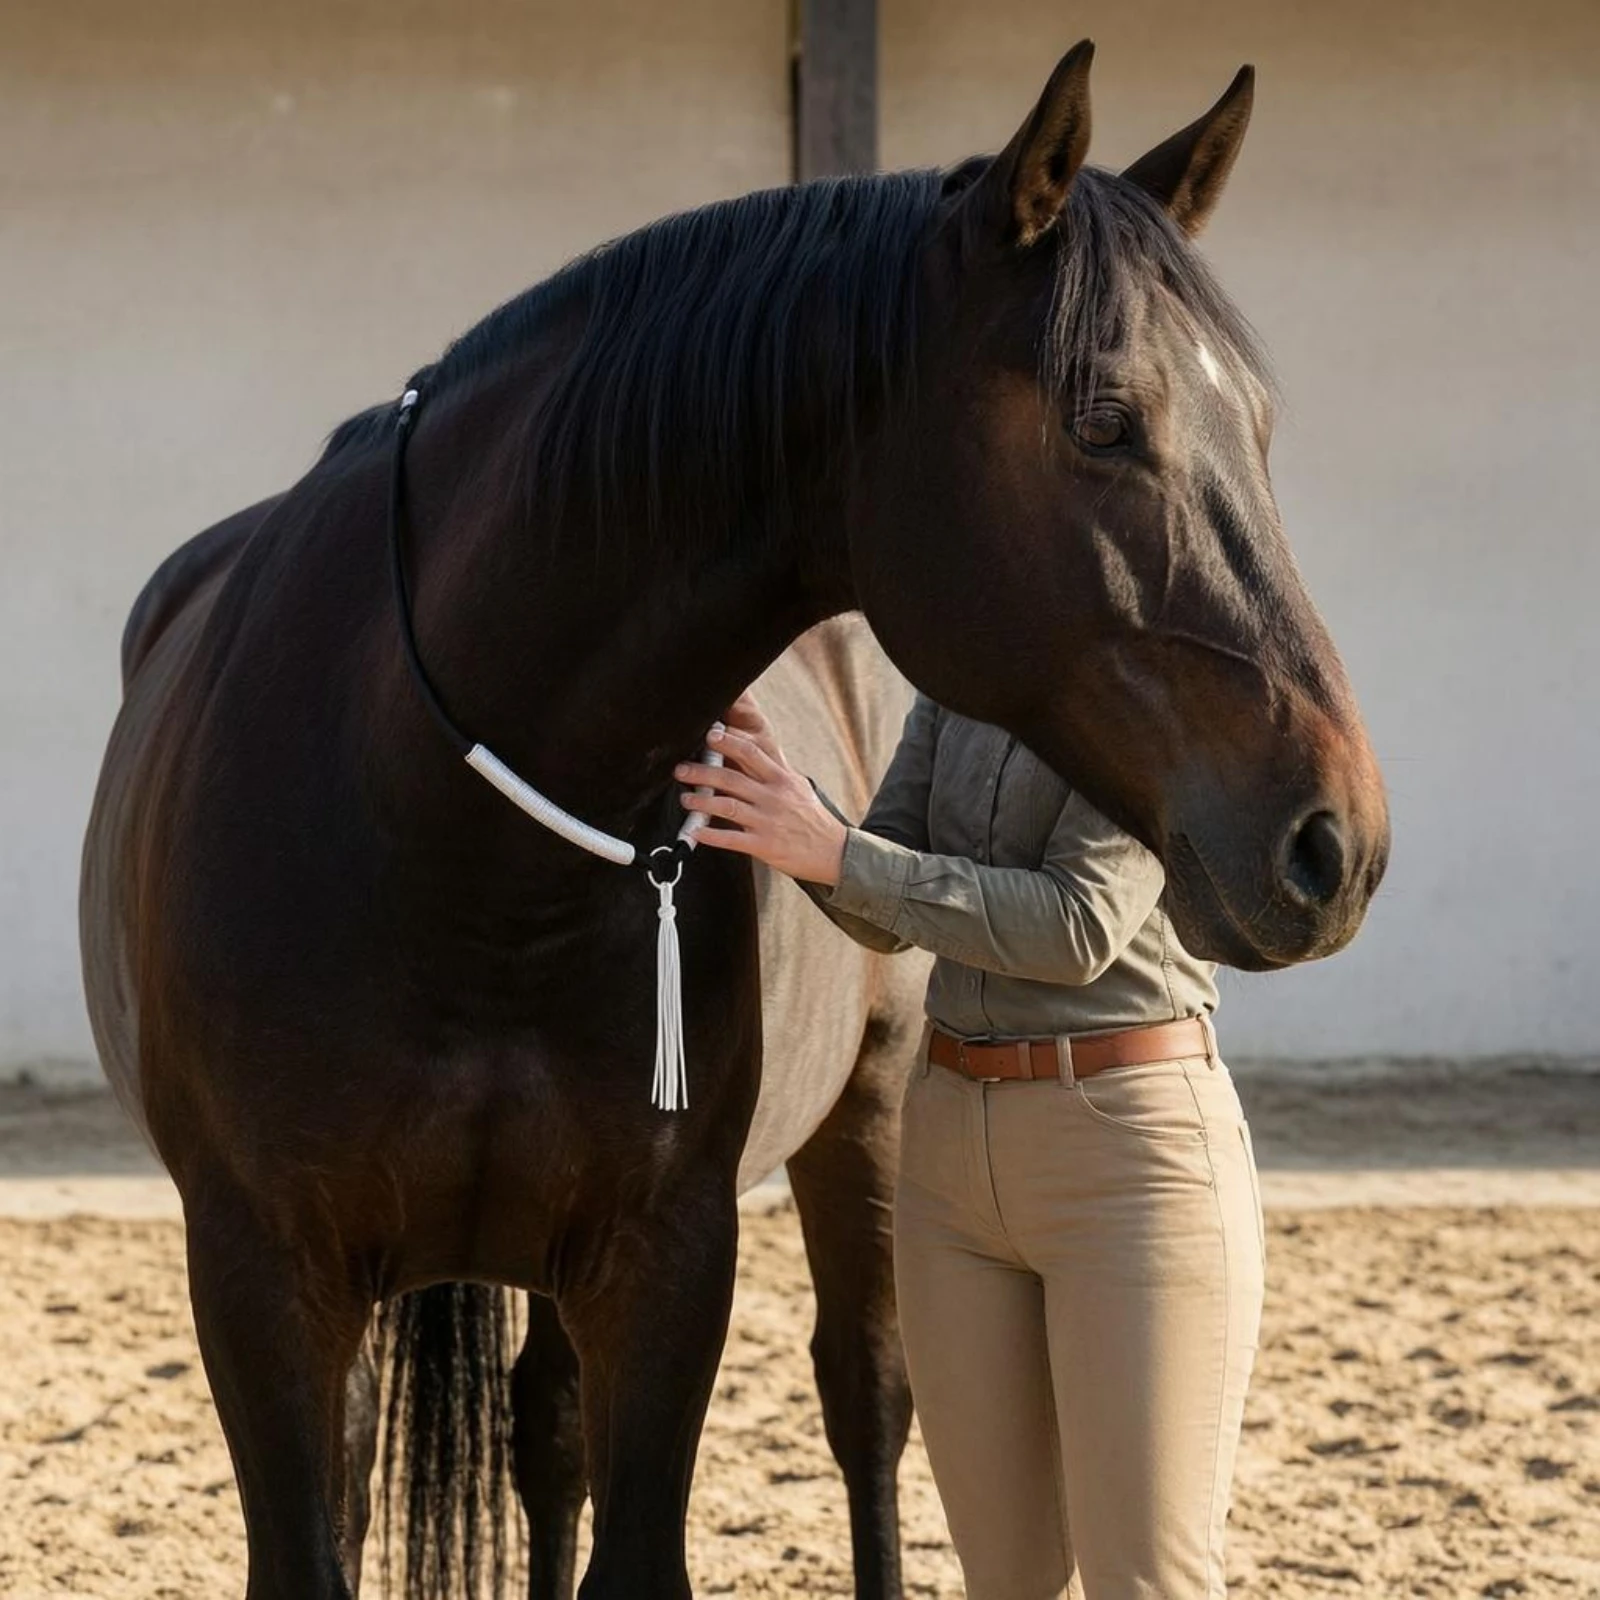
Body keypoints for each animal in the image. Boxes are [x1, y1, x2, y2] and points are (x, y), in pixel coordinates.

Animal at [80, 41, 1390, 1600]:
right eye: (1103, 421)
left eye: (1258, 424)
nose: (1335, 842)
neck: (438, 834)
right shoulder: (262, 1277)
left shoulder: (663, 1260)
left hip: (865, 1115)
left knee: (858, 1399)